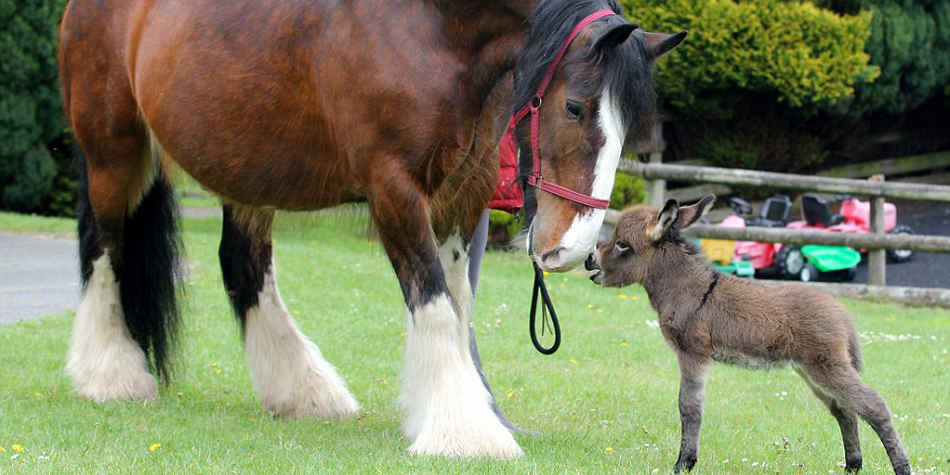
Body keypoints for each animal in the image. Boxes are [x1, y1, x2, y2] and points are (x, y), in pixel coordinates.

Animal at [59, 0, 684, 462]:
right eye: (575, 107)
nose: (570, 249)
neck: (431, 27)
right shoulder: (394, 190)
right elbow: (433, 302)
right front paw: (465, 432)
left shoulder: (464, 191)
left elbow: (457, 305)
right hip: (114, 151)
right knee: (104, 248)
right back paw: (110, 375)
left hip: (247, 171)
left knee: (244, 264)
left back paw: (304, 391)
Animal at [592, 195, 912, 474]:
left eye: (622, 244)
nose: (589, 262)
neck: (686, 288)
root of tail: (843, 315)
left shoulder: (692, 354)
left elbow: (689, 407)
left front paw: (683, 463)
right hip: (812, 371)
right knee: (845, 411)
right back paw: (852, 466)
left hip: (826, 367)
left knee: (874, 406)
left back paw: (901, 467)